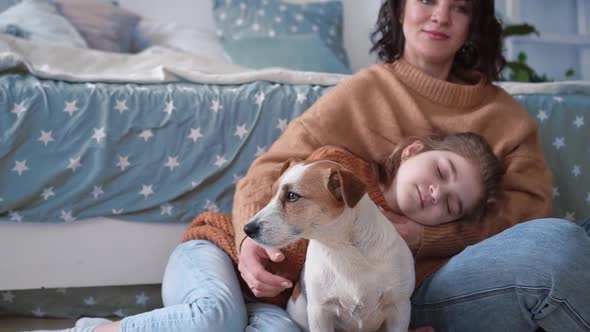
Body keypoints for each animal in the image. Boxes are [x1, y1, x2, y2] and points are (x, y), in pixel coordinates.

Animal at [245, 160, 416, 330]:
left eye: (292, 196)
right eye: (271, 194)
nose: (247, 229)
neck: (341, 248)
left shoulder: (399, 310)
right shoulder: (320, 312)